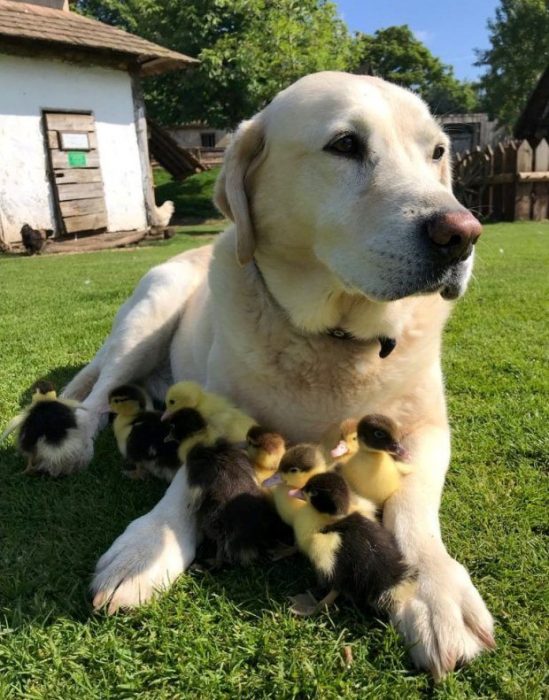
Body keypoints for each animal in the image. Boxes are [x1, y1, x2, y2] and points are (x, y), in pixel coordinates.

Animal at [58, 72, 492, 680]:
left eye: (436, 153)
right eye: (345, 145)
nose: (463, 234)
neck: (333, 339)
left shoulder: (429, 431)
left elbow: (412, 507)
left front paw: (435, 588)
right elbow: (183, 485)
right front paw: (145, 548)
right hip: (150, 310)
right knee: (97, 395)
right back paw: (74, 439)